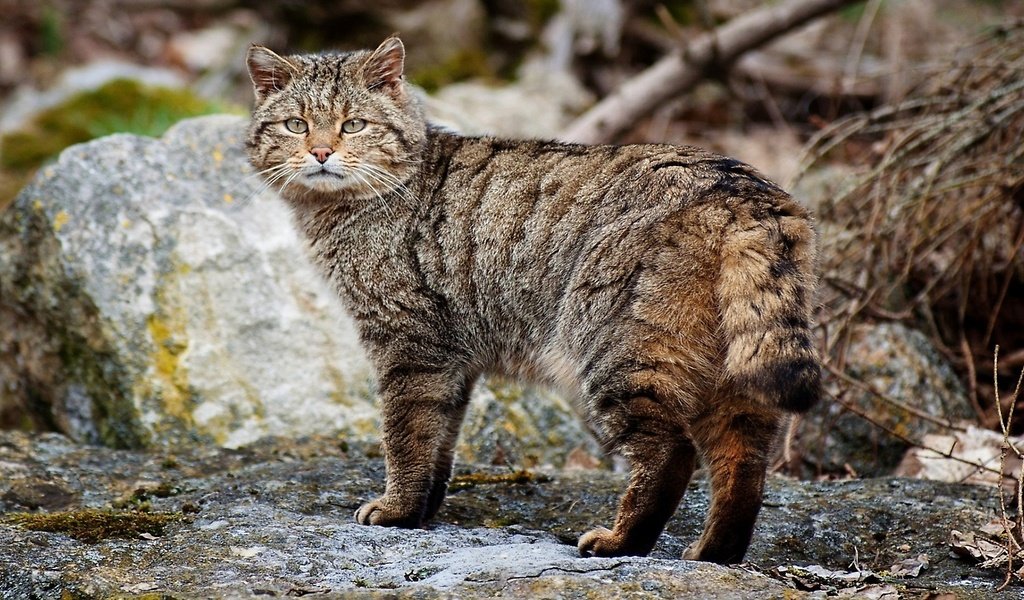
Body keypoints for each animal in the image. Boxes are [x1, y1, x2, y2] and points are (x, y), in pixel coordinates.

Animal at [243, 36, 819, 561]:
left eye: (353, 125)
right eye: (296, 125)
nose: (320, 152)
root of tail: (745, 193)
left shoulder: (410, 346)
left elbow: (407, 433)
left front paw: (397, 509)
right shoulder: (454, 358)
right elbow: (441, 439)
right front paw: (424, 509)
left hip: (617, 352)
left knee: (671, 454)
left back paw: (621, 542)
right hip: (731, 374)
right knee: (744, 464)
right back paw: (713, 553)